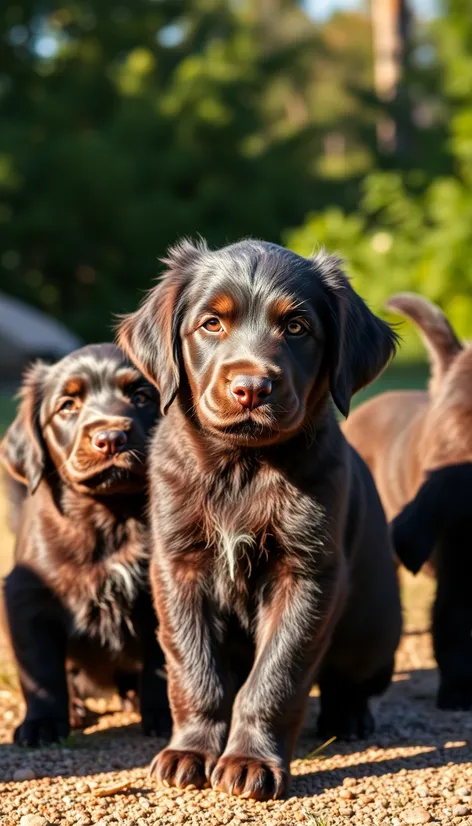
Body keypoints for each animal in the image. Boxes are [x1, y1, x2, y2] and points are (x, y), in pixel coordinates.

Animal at [0, 342, 171, 748]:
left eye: (142, 397)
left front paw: (163, 715)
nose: (110, 438)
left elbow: (162, 662)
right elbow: (42, 671)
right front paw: (43, 723)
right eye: (67, 406)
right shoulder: (26, 596)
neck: (112, 520)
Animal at [118, 238, 402, 800]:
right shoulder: (177, 566)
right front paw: (190, 751)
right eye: (211, 324)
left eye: (296, 327)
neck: (242, 469)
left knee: (352, 681)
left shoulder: (308, 575)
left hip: (376, 628)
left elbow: (277, 675)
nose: (251, 387)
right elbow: (194, 667)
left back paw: (350, 716)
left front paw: (251, 760)